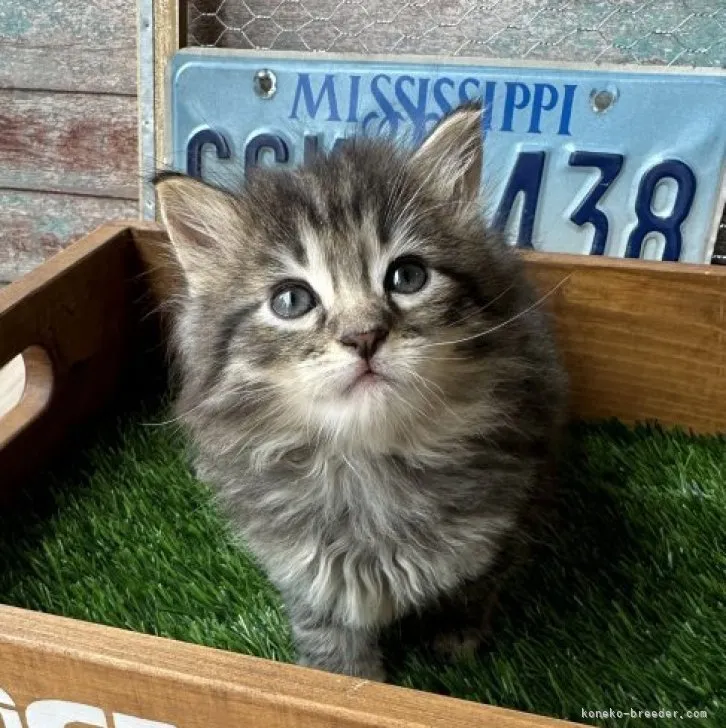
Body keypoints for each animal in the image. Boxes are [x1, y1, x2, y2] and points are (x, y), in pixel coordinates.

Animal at [155, 99, 568, 680]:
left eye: (408, 276)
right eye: (291, 300)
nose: (364, 336)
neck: (369, 468)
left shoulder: (503, 519)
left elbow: (473, 585)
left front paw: (456, 641)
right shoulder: (305, 570)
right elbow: (334, 647)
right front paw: (344, 679)